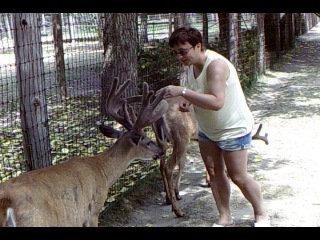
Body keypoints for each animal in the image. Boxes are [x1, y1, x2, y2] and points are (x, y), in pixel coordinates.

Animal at [0, 77, 169, 227]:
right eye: (148, 141)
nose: (161, 151)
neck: (102, 170)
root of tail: (5, 203)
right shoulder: (93, 209)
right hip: (36, 221)